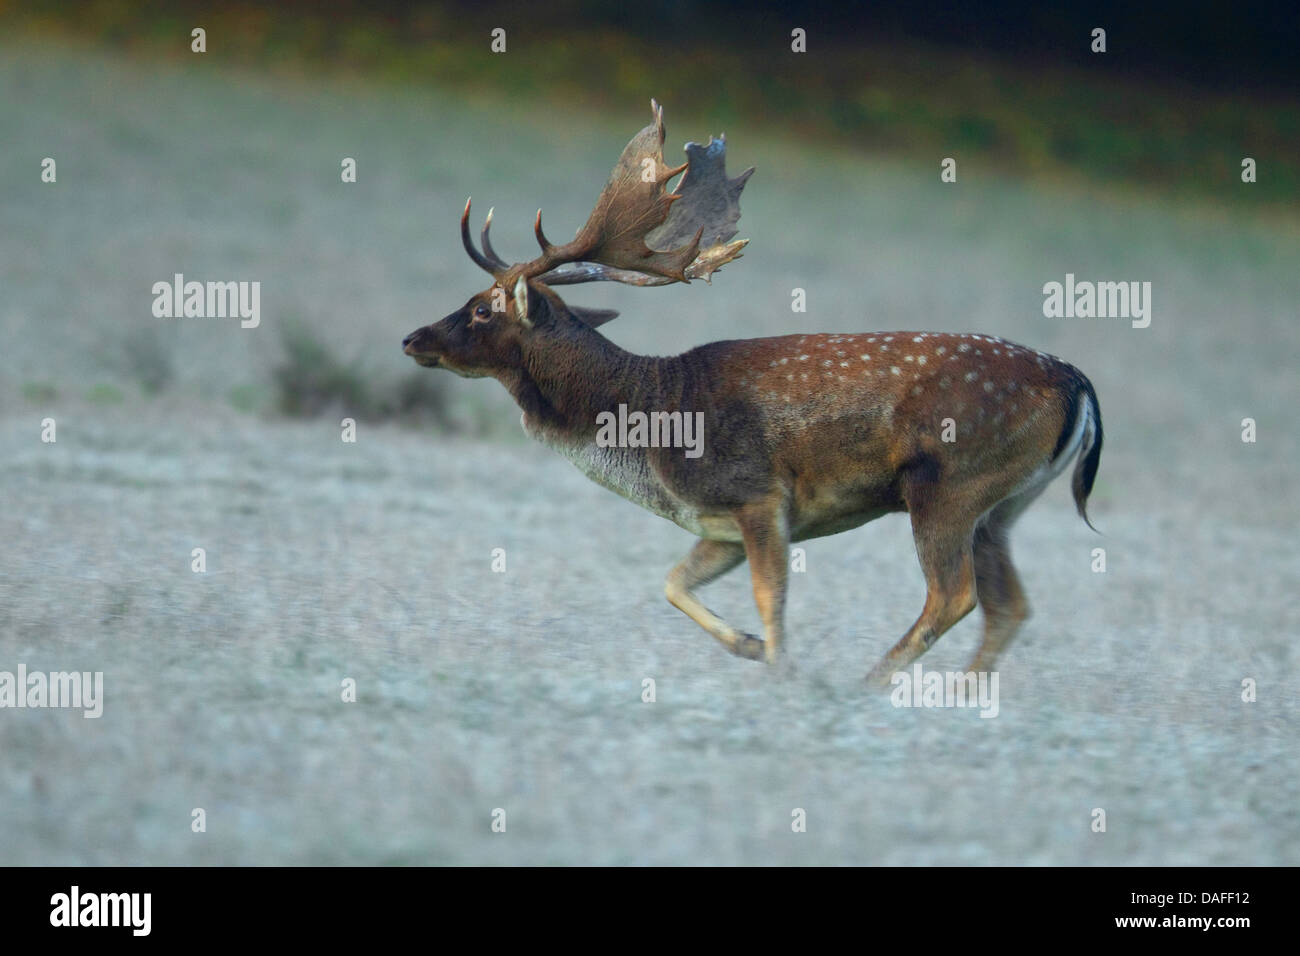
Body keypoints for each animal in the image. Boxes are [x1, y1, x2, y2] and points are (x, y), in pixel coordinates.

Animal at [400, 100, 1102, 686]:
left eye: (483, 309)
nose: (412, 338)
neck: (651, 428)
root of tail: (1076, 380)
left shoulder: (758, 492)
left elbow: (770, 597)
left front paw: (781, 669)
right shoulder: (716, 520)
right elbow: (672, 583)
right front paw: (750, 647)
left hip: (948, 483)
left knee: (956, 595)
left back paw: (872, 683)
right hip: (1004, 504)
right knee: (1010, 605)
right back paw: (961, 694)